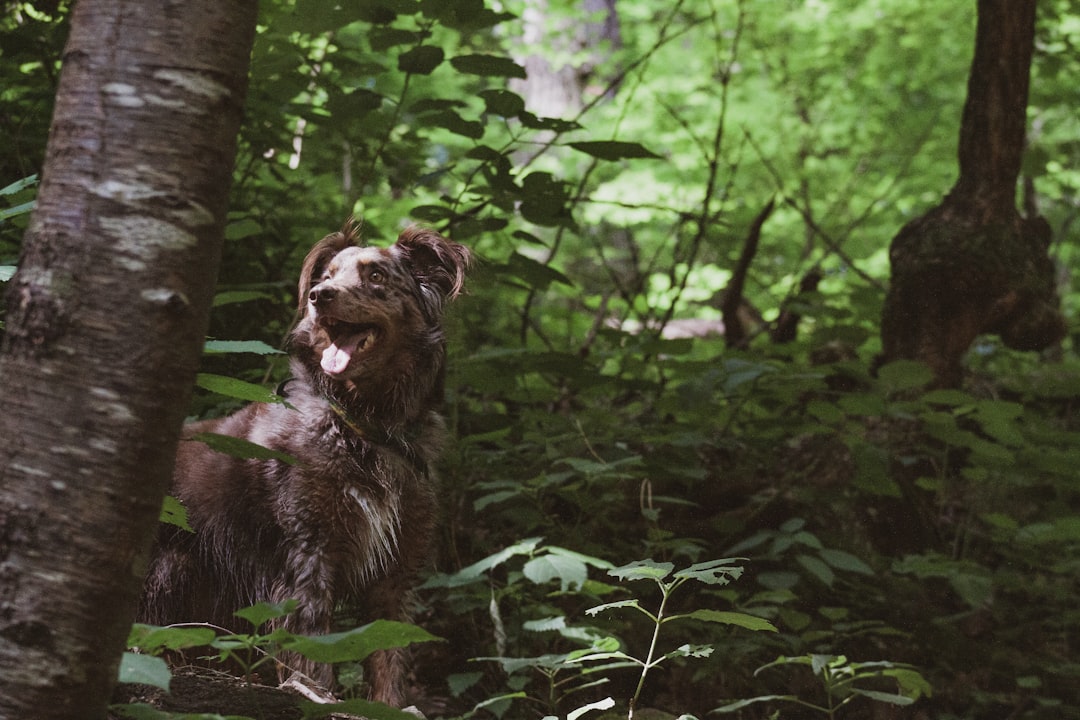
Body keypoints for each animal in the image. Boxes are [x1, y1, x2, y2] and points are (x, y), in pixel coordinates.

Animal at [138, 220, 468, 703]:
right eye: (325, 276)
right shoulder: (307, 558)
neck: (363, 424)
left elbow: (389, 659)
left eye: (375, 275)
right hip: (168, 569)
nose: (319, 295)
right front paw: (316, 696)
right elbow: (314, 653)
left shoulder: (395, 573)